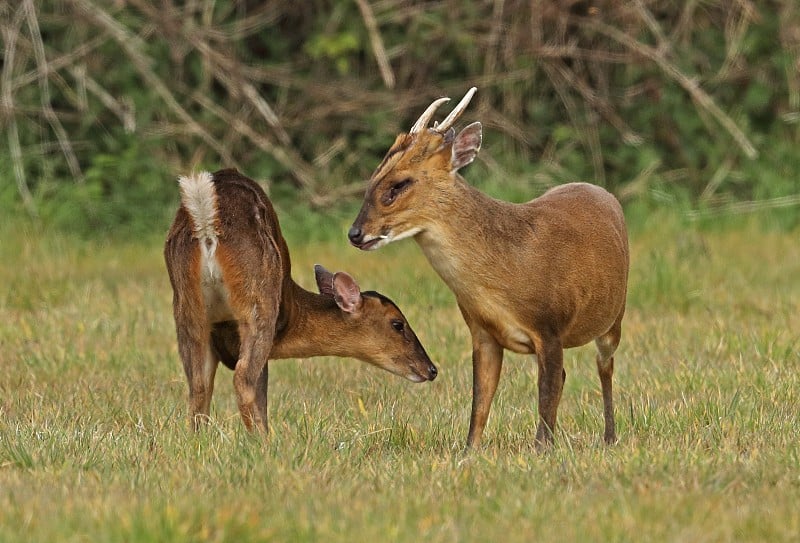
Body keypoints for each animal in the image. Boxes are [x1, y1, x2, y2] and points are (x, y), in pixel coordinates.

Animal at [164, 170, 438, 434]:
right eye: (398, 324)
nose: (431, 369)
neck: (294, 317)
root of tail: (206, 223)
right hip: (259, 302)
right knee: (243, 379)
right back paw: (263, 442)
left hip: (187, 309)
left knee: (198, 387)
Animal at [350, 87, 632, 448]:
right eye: (374, 176)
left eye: (399, 184)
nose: (355, 233)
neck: (506, 272)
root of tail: (603, 191)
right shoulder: (482, 332)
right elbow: (480, 402)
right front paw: (470, 451)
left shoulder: (550, 326)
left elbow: (545, 396)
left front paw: (542, 449)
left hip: (614, 315)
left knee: (604, 366)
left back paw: (610, 436)